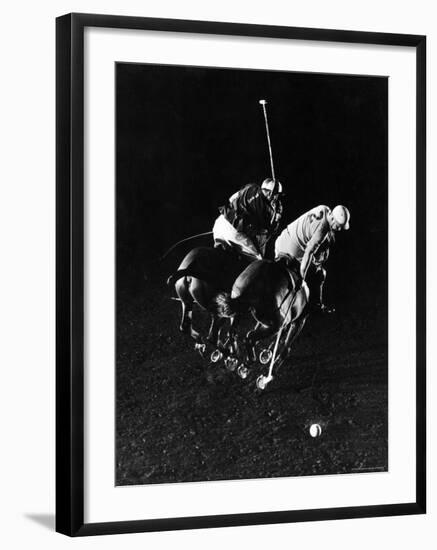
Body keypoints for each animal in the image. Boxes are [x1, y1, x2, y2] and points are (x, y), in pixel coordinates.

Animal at [214, 260, 308, 390]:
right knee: (249, 337)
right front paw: (266, 375)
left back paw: (232, 355)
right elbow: (284, 348)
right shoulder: (294, 322)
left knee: (233, 332)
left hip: (240, 309)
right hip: (277, 324)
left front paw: (265, 355)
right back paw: (247, 365)